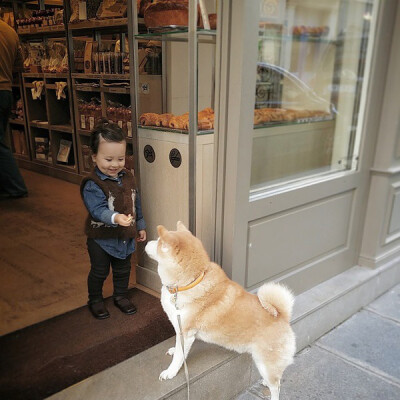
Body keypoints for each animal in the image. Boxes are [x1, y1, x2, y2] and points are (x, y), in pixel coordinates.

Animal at [145, 222, 296, 400]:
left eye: (158, 242)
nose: (146, 242)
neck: (189, 283)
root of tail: (282, 318)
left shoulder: (186, 333)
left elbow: (179, 358)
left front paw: (170, 372)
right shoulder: (180, 329)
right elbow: (178, 349)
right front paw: (174, 349)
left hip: (266, 362)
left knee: (276, 386)